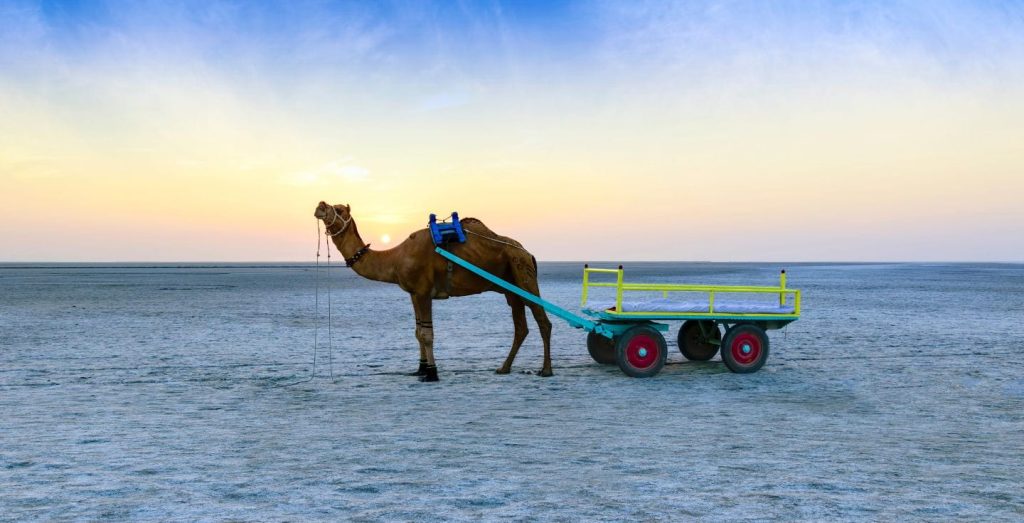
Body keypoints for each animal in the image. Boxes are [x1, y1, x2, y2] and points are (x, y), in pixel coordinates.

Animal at [311, 199, 552, 380]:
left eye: (339, 209)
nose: (320, 204)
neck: (395, 259)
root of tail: (527, 252)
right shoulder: (413, 294)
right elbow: (417, 332)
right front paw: (420, 369)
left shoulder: (423, 291)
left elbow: (427, 334)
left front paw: (432, 373)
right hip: (511, 287)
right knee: (521, 327)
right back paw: (504, 368)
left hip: (523, 273)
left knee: (543, 320)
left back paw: (546, 370)